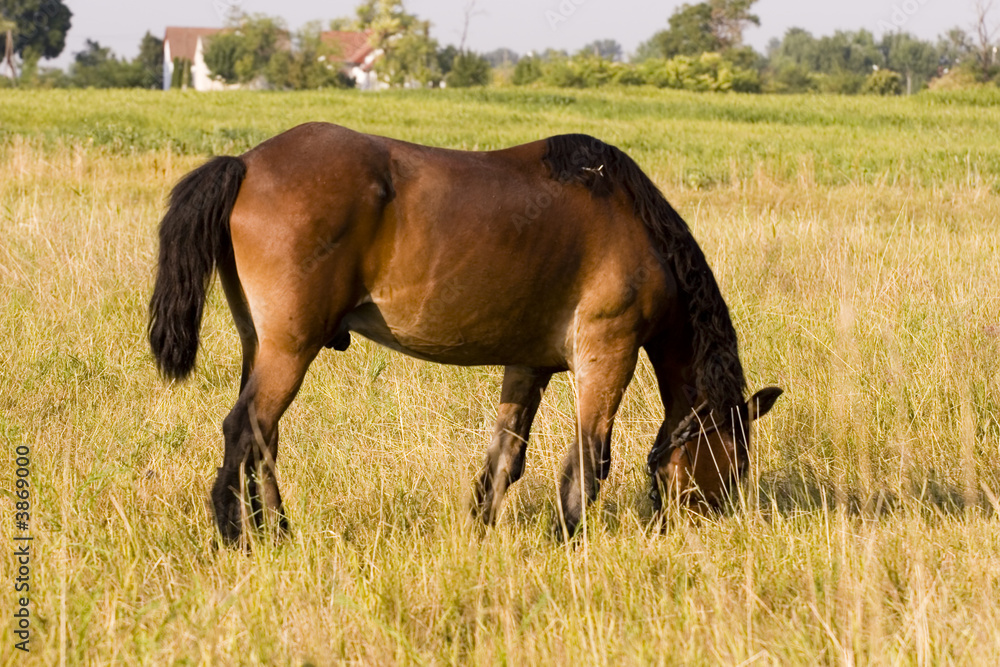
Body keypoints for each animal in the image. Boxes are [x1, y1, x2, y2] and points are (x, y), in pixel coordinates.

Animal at [148, 123, 782, 542]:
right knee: (244, 430)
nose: (713, 526)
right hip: (289, 349)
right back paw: (240, 534)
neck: (633, 225)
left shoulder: (529, 365)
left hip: (263, 346)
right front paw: (567, 539)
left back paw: (276, 530)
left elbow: (505, 458)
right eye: (735, 463)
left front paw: (480, 531)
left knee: (263, 438)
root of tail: (246, 163)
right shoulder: (608, 354)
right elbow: (588, 463)